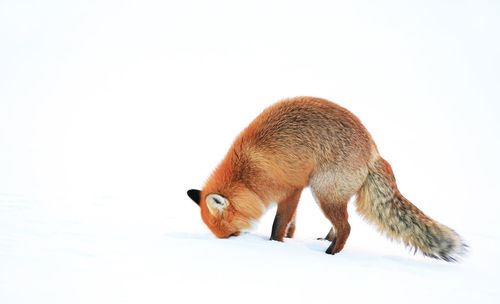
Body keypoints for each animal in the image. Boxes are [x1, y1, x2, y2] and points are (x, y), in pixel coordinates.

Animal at [186, 97, 466, 262]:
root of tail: (373, 150)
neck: (248, 174)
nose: (233, 247)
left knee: (347, 227)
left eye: (232, 235)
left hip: (322, 193)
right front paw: (289, 238)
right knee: (340, 226)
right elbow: (291, 223)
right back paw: (326, 241)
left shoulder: (292, 188)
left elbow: (278, 224)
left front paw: (275, 246)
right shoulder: (295, 192)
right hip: (330, 195)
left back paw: (329, 256)